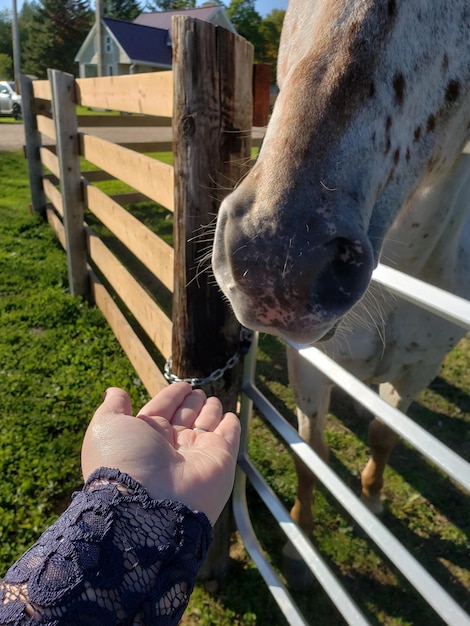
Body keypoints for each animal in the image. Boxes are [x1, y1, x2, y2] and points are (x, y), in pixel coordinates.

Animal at [213, 0, 470, 572]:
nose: (278, 260)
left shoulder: (421, 368)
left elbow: (384, 434)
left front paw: (372, 499)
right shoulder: (311, 364)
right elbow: (313, 452)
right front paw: (299, 540)